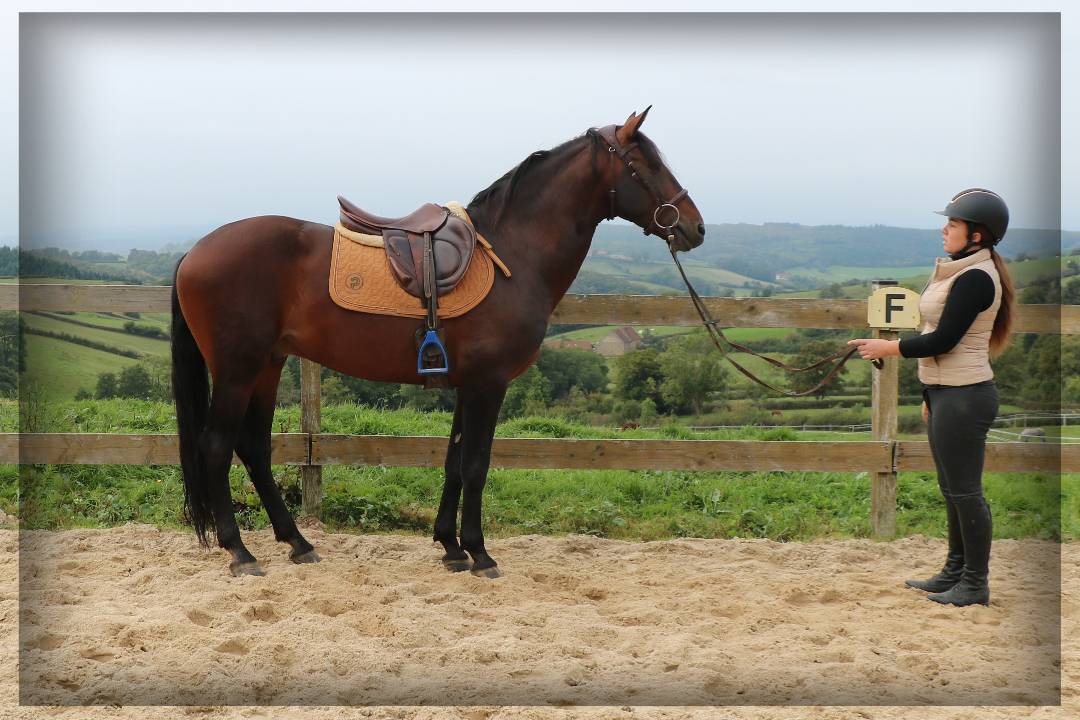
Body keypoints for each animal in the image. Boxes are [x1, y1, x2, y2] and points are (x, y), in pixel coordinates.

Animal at [170, 108, 705, 577]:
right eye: (647, 164)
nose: (694, 227)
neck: (513, 252)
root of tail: (195, 250)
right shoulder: (489, 384)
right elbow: (476, 465)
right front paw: (479, 552)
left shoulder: (467, 385)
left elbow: (453, 462)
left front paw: (450, 546)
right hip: (237, 369)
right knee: (217, 446)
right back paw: (240, 552)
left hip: (268, 364)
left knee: (254, 447)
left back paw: (298, 543)